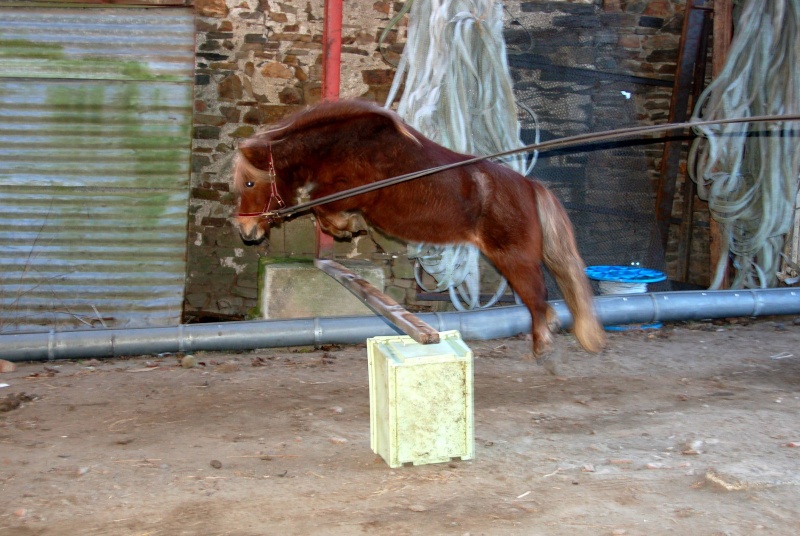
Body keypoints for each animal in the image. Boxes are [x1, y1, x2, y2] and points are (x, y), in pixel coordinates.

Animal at [234, 99, 604, 360]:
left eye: (250, 182)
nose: (246, 230)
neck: (349, 148)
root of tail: (530, 187)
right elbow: (318, 207)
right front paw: (345, 228)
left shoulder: (356, 194)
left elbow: (319, 204)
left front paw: (345, 227)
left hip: (515, 259)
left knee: (537, 298)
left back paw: (542, 344)